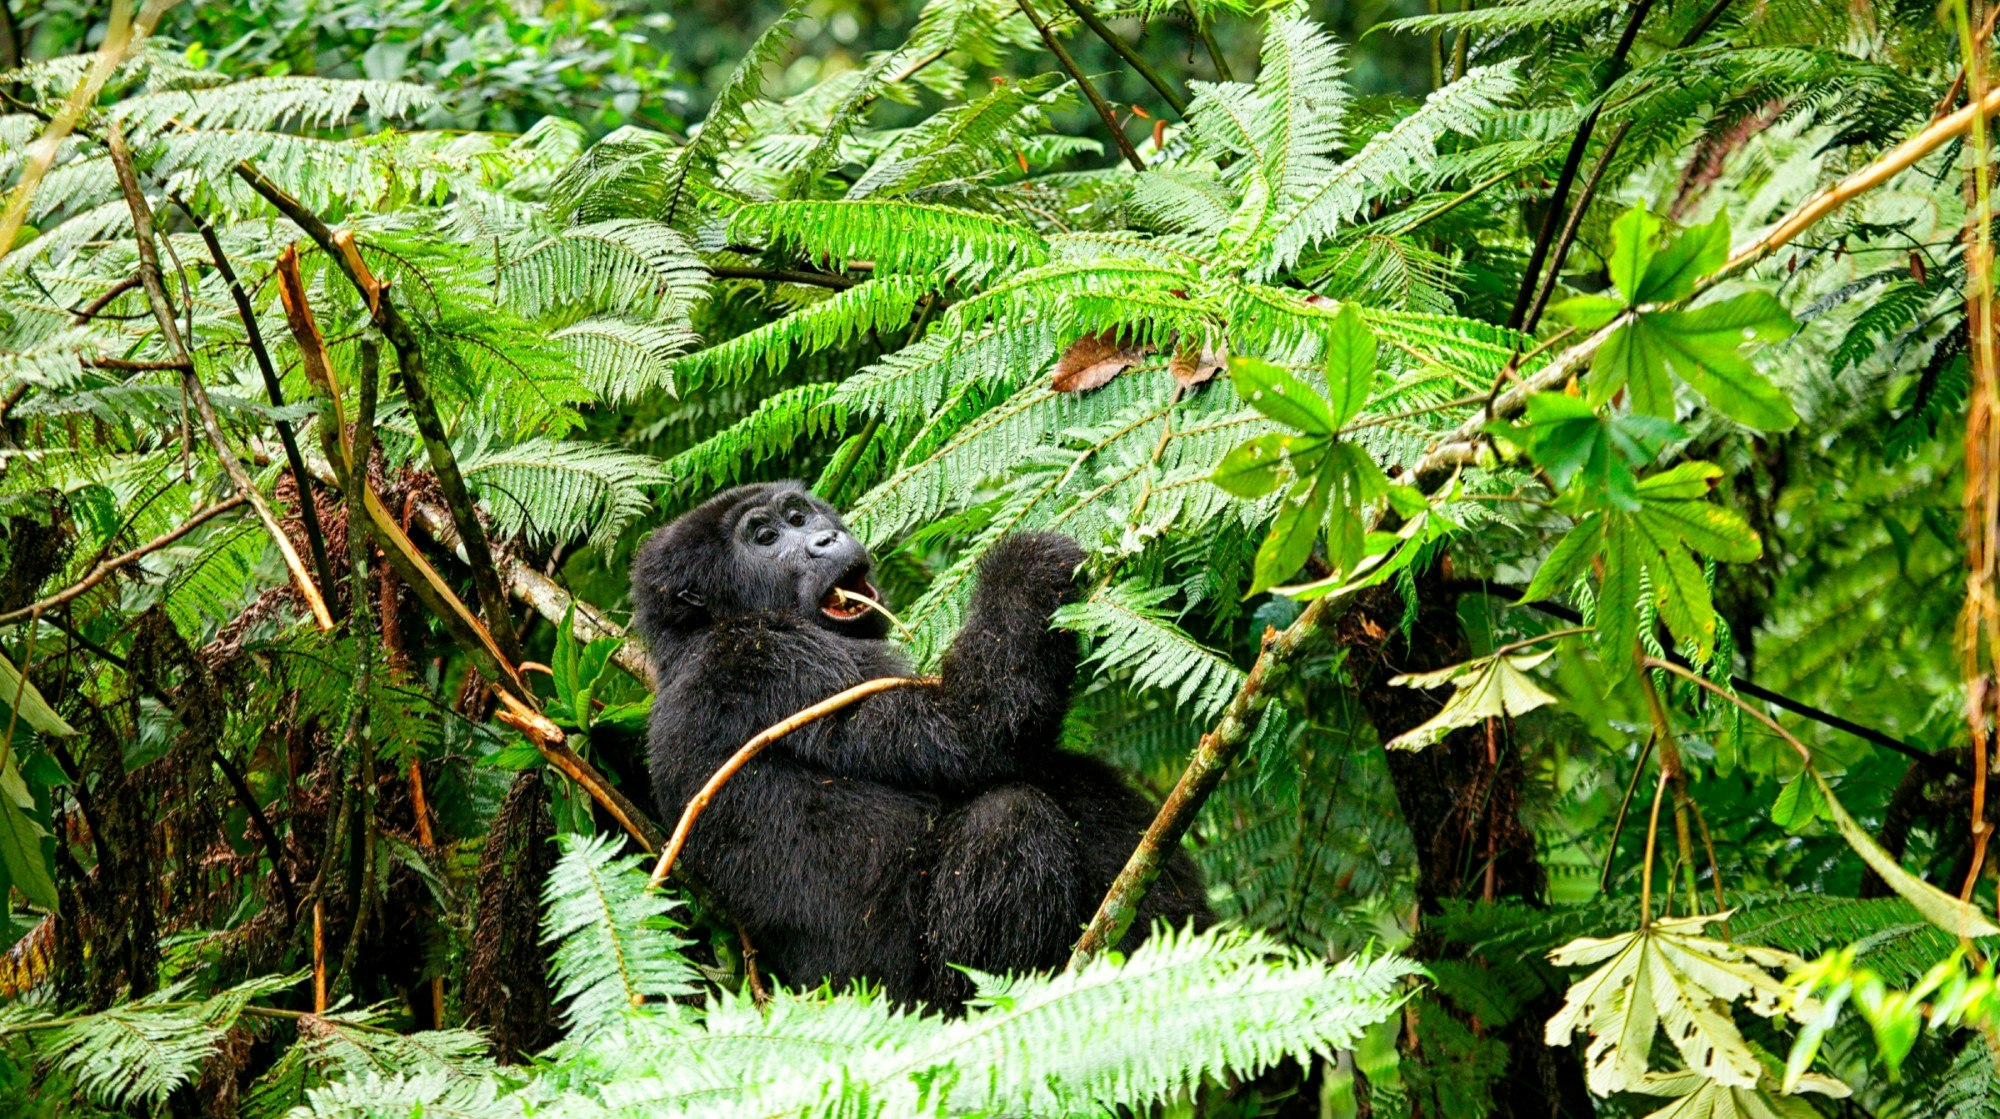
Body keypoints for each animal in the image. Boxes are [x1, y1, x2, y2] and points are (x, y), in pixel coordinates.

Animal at [632, 481, 1208, 1007]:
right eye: (766, 537)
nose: (825, 538)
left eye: (799, 516)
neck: (695, 633)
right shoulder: (769, 656)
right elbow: (972, 728)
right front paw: (1025, 564)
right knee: (1009, 816)